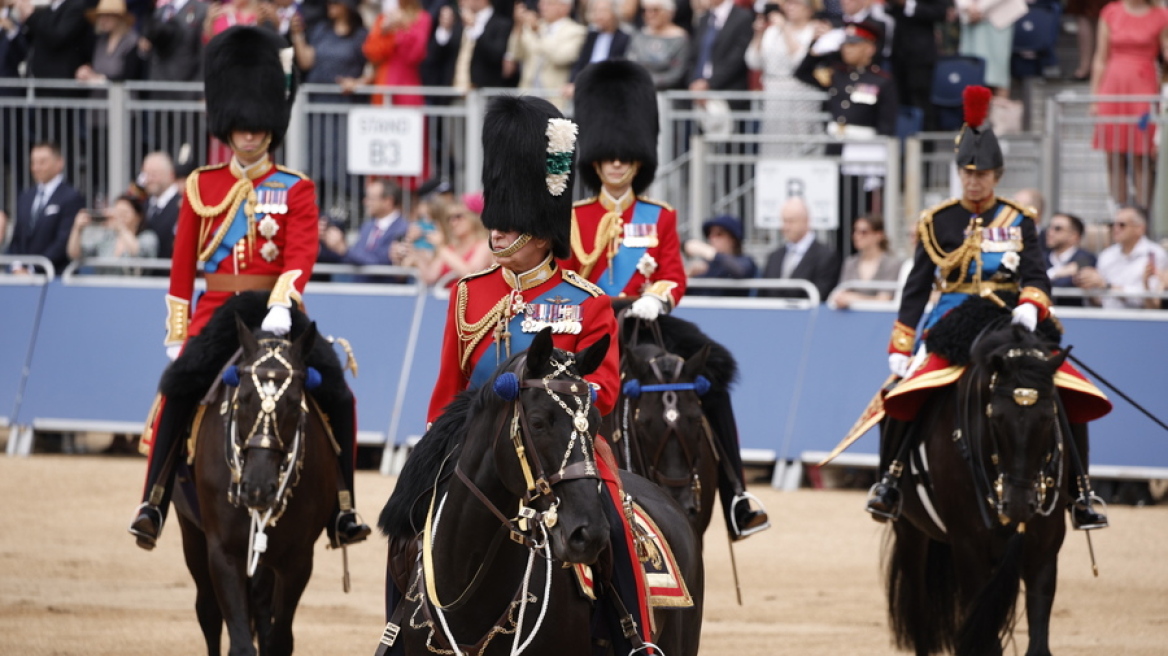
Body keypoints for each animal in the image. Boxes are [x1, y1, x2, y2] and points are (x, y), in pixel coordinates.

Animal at [172, 317, 341, 653]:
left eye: (295, 404)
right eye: (243, 398)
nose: (258, 488)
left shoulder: (298, 561)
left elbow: (279, 639)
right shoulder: (224, 553)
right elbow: (240, 643)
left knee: (261, 608)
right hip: (191, 533)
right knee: (208, 612)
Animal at [887, 324, 1069, 653]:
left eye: (1050, 418)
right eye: (995, 418)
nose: (1019, 505)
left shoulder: (1044, 549)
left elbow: (1038, 641)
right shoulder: (968, 545)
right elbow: (984, 641)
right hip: (909, 531)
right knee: (920, 614)